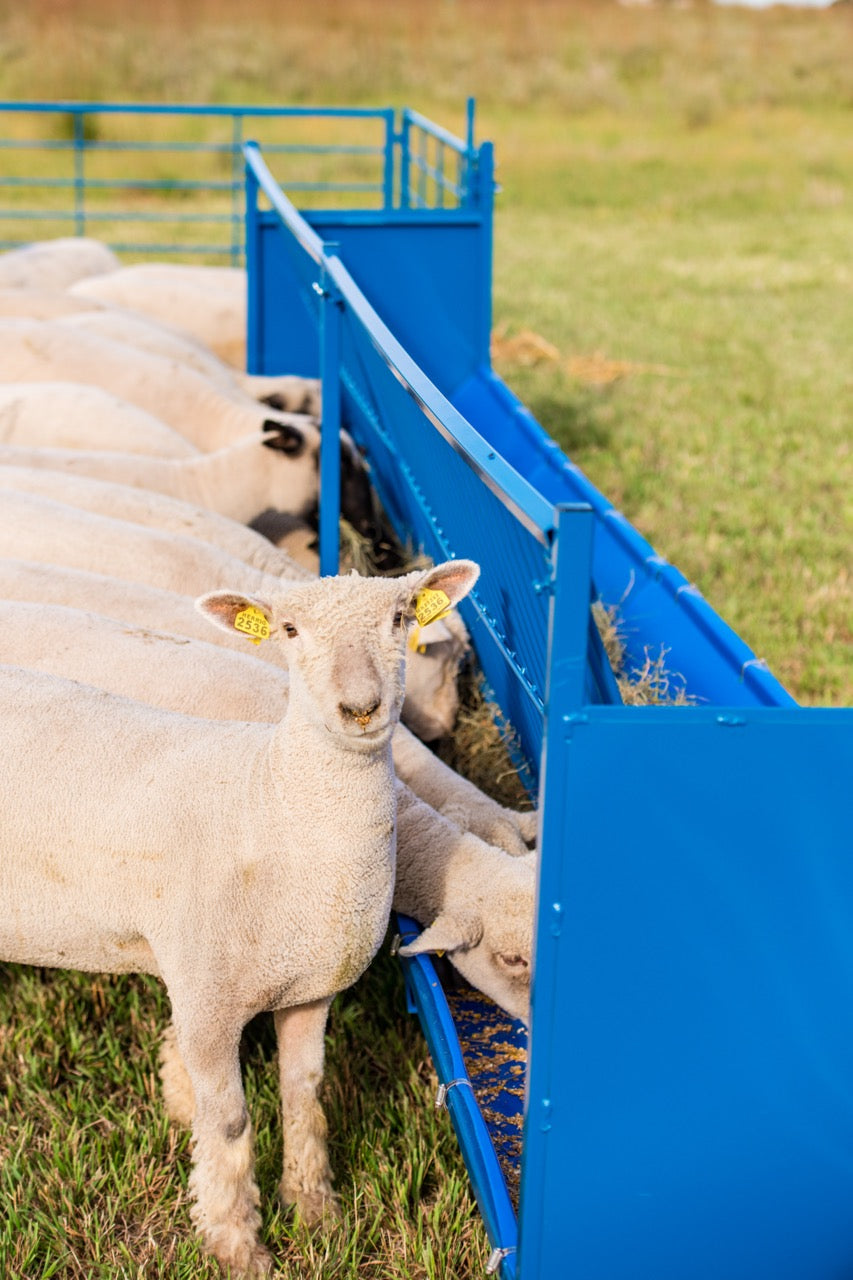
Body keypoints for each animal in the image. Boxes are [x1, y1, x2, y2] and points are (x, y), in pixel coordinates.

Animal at [0, 557, 478, 1274]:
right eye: (288, 630)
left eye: (399, 618)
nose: (360, 708)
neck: (273, 800)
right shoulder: (207, 1002)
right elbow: (228, 1125)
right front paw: (238, 1247)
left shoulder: (310, 985)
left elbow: (304, 1093)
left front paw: (315, 1212)